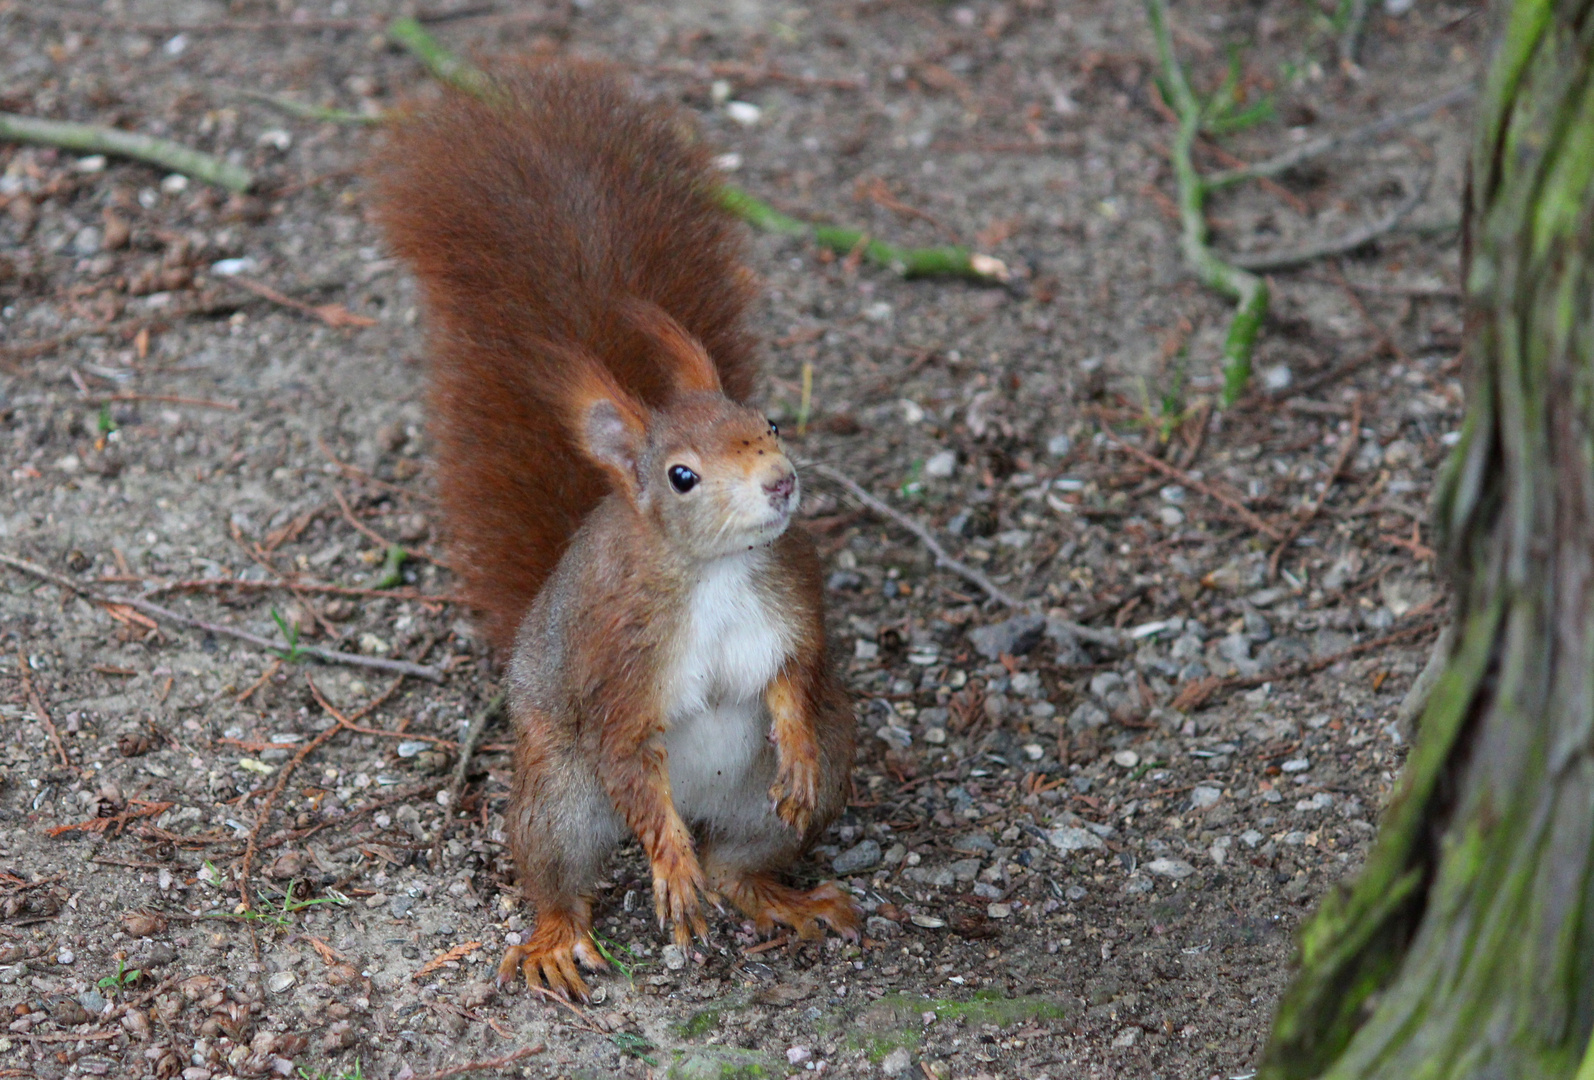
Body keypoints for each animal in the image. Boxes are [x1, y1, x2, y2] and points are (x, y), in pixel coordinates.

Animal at [366, 63, 860, 1000]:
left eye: (769, 420)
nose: (781, 483)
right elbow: (627, 748)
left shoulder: (790, 592)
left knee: (741, 862)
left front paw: (797, 741)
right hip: (561, 792)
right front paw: (668, 863)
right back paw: (559, 935)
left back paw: (780, 893)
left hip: (780, 796)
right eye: (682, 476)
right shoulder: (619, 654)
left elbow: (796, 672)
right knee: (559, 869)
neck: (714, 572)